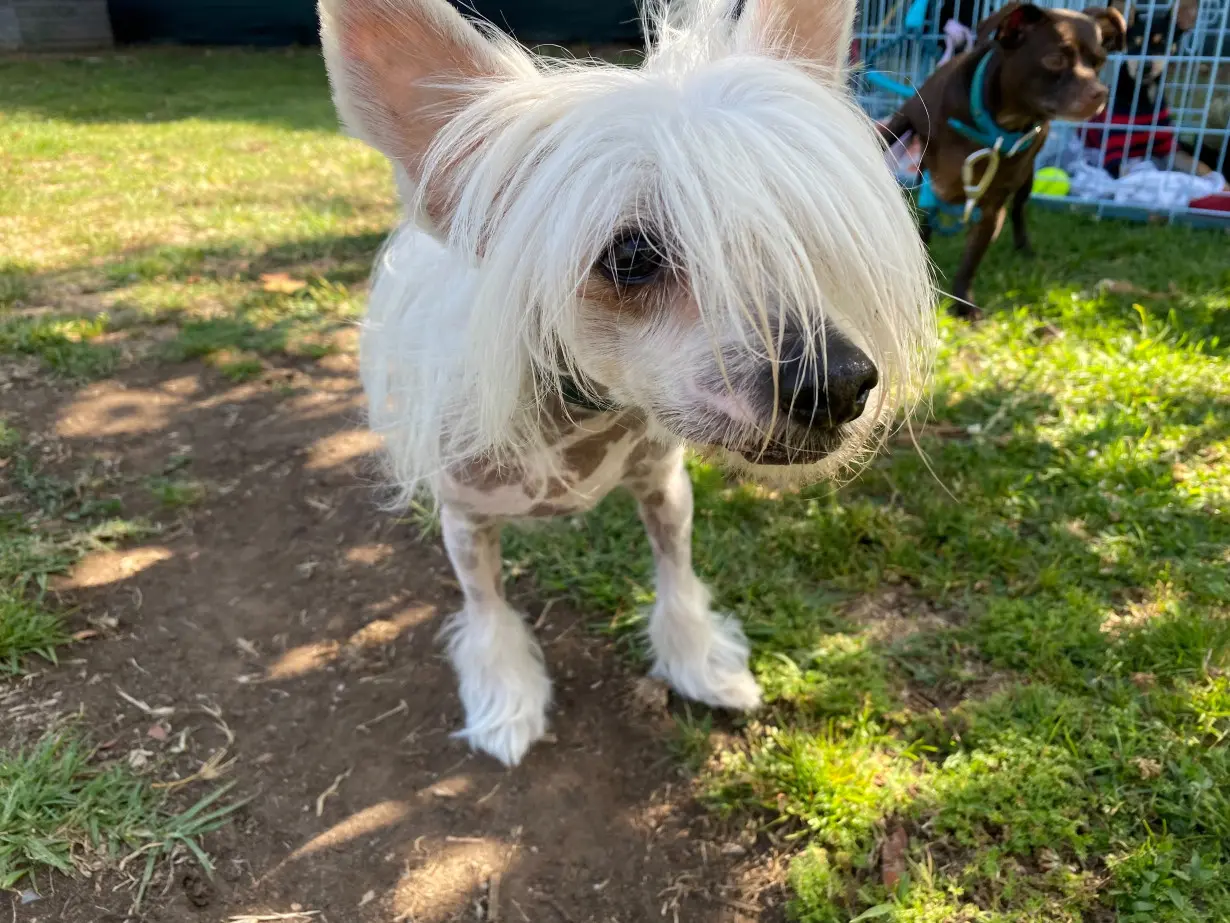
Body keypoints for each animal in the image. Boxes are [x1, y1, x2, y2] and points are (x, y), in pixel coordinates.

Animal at [322, 0, 934, 767]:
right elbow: (487, 608)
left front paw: (700, 664)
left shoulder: (666, 488)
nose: (838, 385)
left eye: (801, 229)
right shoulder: (465, 520)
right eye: (632, 256)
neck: (581, 420)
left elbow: (678, 577)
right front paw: (504, 702)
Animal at [880, 2, 1126, 317]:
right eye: (1055, 59)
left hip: (1026, 181)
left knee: (1018, 210)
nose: (1101, 93)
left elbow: (970, 262)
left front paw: (964, 304)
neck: (997, 124)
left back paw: (1024, 248)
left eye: (1098, 63)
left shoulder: (991, 209)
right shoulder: (906, 119)